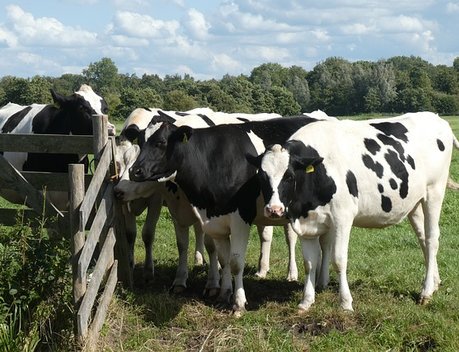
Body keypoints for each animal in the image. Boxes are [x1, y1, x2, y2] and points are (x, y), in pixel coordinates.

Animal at [127, 115, 324, 314]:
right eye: (140, 142)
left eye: (161, 142)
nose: (134, 171)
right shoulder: (215, 220)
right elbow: (224, 259)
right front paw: (224, 294)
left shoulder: (240, 219)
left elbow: (236, 262)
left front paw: (239, 303)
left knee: (298, 240)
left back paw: (296, 276)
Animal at [253, 112, 458, 310]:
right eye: (262, 176)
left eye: (289, 176)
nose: (274, 209)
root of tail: (436, 118)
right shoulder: (306, 222)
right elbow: (309, 262)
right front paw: (306, 301)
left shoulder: (343, 217)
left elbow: (339, 259)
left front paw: (345, 303)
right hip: (414, 202)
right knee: (423, 238)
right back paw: (434, 282)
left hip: (434, 191)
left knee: (432, 239)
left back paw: (426, 292)